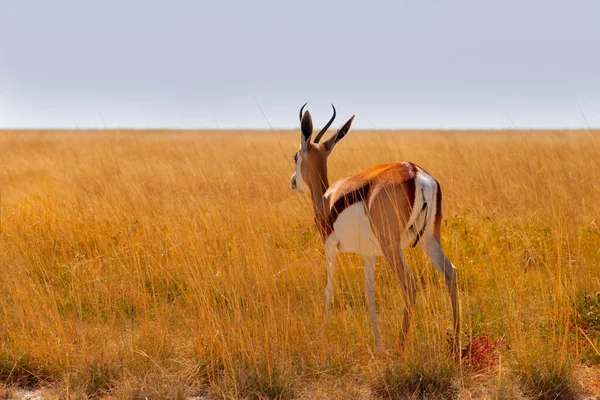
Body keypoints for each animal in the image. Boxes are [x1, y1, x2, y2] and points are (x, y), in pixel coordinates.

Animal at [288, 104, 462, 354]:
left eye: (295, 156)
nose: (293, 181)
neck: (327, 198)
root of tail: (416, 173)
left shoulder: (329, 245)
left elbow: (328, 289)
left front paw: (320, 338)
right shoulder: (369, 254)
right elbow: (369, 293)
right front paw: (378, 345)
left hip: (392, 247)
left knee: (410, 285)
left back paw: (400, 345)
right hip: (429, 240)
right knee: (451, 273)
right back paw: (456, 345)